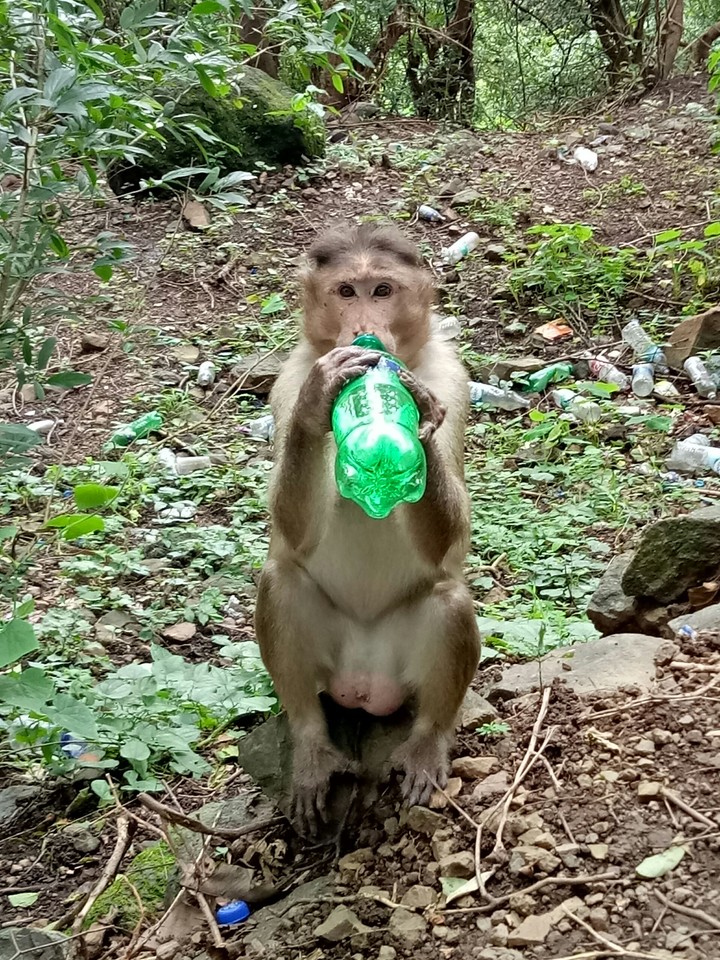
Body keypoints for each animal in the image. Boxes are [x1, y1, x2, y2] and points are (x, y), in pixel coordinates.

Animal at [254, 222, 481, 835]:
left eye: (381, 290)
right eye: (345, 292)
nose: (364, 329)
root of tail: (363, 684)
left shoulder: (453, 378)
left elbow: (450, 537)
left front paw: (415, 412)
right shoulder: (289, 376)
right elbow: (292, 532)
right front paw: (319, 404)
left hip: (403, 669)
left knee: (449, 599)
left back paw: (426, 742)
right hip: (330, 669)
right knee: (281, 580)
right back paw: (311, 745)